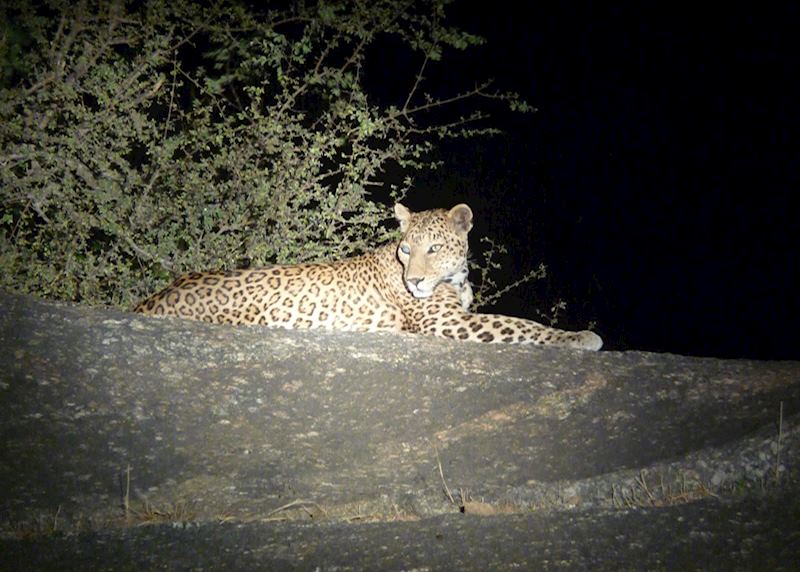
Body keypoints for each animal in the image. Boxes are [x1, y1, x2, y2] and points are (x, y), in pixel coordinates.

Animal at [133, 203, 603, 350]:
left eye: (433, 249)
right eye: (406, 249)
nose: (414, 283)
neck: (457, 276)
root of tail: (149, 300)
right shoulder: (451, 324)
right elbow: (520, 326)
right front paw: (579, 336)